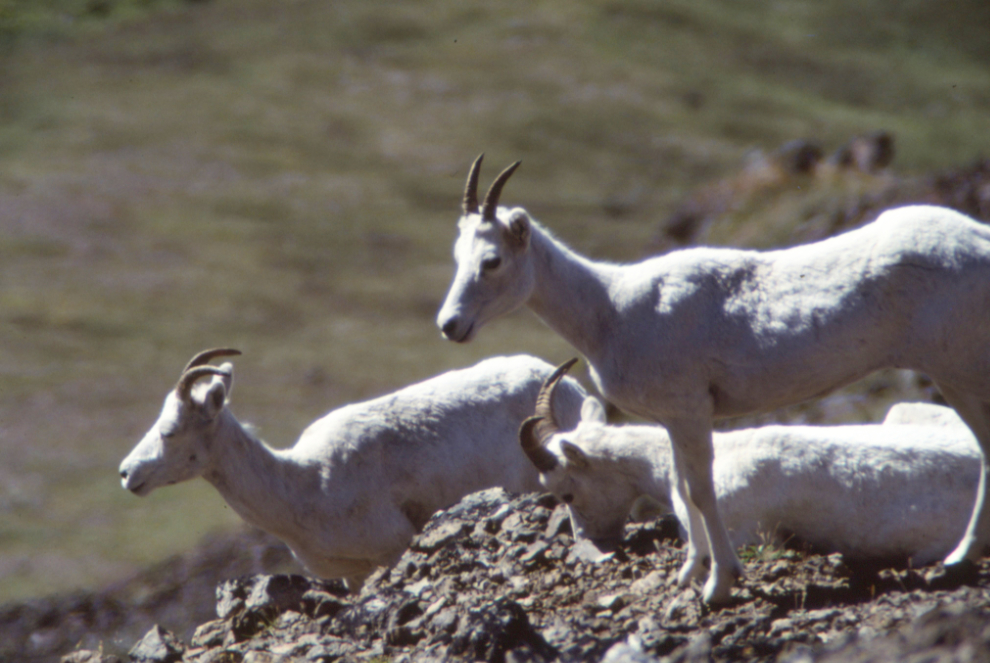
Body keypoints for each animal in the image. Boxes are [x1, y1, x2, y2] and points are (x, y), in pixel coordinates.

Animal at [119, 348, 587, 591]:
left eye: (170, 430)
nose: (126, 474)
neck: (305, 486)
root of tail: (569, 387)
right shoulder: (352, 575)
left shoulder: (393, 547)